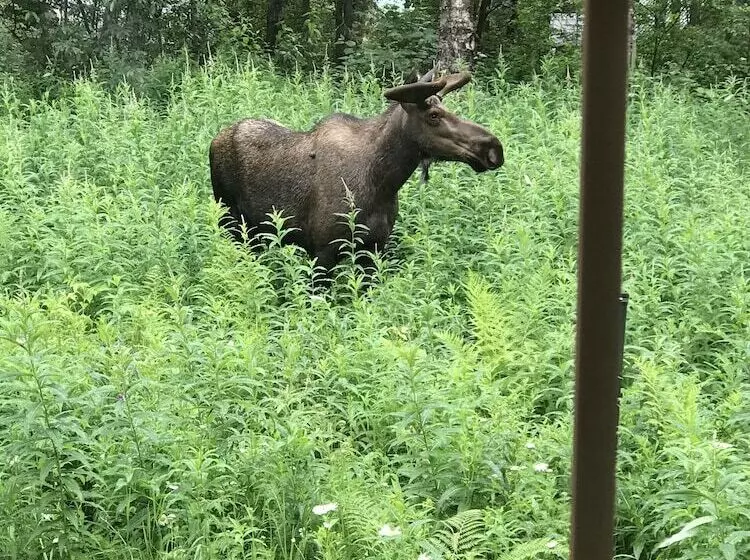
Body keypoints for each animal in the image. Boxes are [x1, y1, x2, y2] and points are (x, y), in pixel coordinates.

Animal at [208, 69, 504, 273]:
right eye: (433, 115)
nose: (494, 149)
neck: (383, 182)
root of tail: (214, 140)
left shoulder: (375, 248)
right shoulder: (322, 250)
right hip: (231, 221)